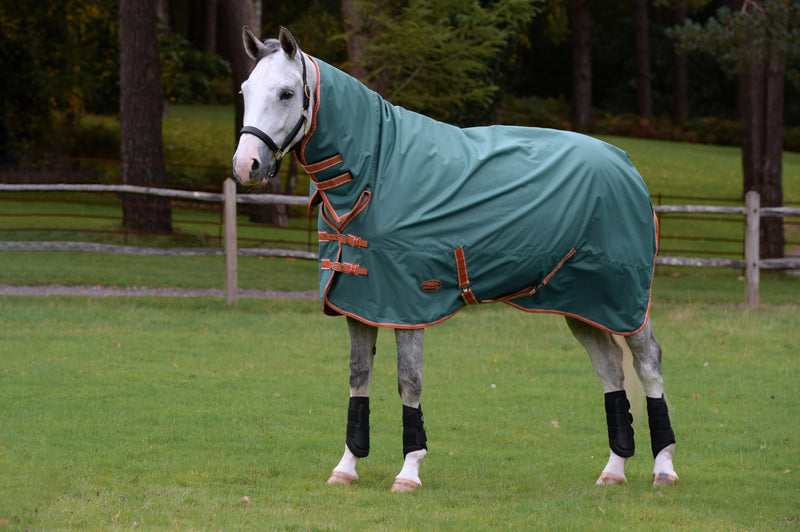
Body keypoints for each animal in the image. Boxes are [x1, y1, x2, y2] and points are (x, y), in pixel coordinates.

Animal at [232, 27, 678, 492]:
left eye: (286, 93)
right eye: (245, 90)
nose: (246, 166)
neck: (378, 171)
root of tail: (626, 164)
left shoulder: (406, 305)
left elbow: (409, 382)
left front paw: (409, 472)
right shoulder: (359, 302)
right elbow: (358, 378)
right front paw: (347, 466)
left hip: (625, 301)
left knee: (648, 363)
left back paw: (663, 467)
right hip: (583, 305)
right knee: (610, 370)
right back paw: (614, 469)